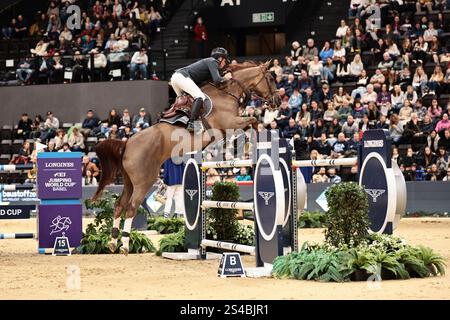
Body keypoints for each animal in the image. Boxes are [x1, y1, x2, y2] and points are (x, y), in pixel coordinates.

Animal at [93, 61, 280, 254]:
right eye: (271, 78)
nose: (278, 102)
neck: (226, 93)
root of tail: (127, 144)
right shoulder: (230, 123)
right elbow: (252, 121)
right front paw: (256, 139)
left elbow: (249, 123)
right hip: (144, 180)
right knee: (131, 207)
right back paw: (125, 245)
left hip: (129, 181)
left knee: (119, 205)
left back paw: (113, 242)